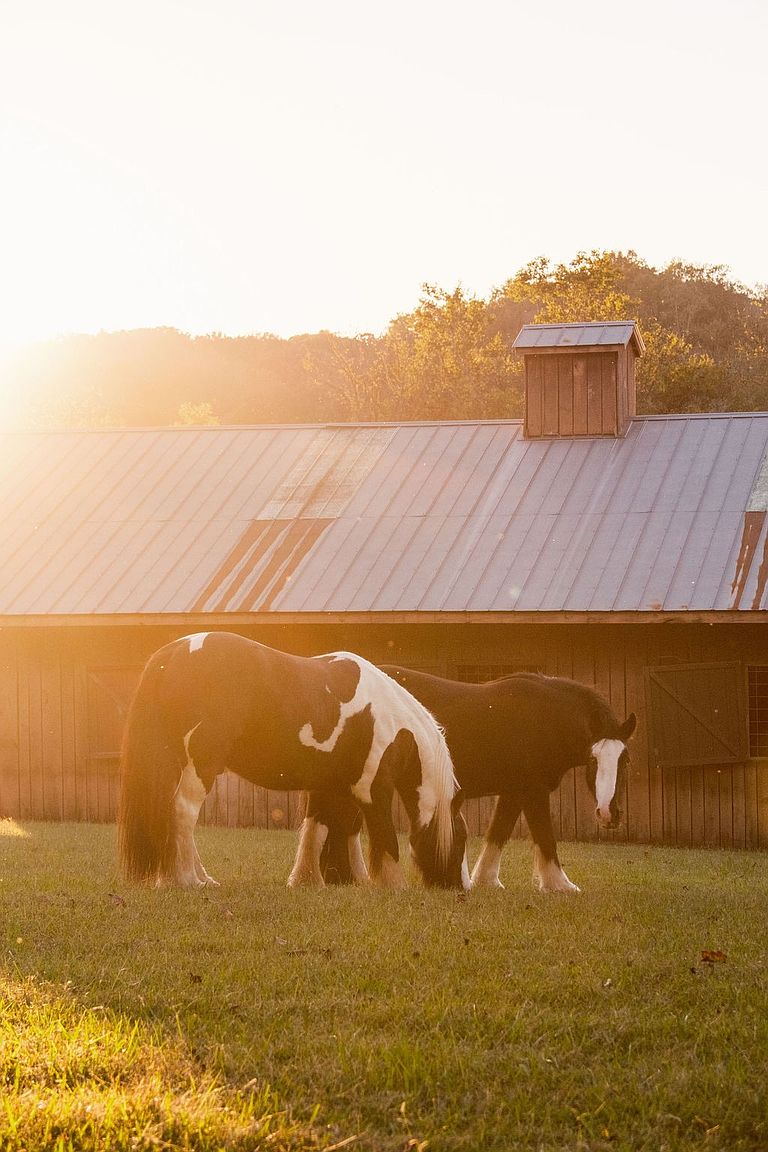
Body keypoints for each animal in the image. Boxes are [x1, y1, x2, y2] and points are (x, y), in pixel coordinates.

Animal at [118, 633, 467, 890]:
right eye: (462, 839)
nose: (460, 887)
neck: (392, 724)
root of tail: (173, 652)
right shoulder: (373, 788)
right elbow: (385, 837)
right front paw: (394, 886)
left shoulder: (330, 787)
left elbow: (317, 829)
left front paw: (308, 881)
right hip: (200, 765)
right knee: (183, 812)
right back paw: (188, 880)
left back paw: (190, 878)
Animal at [307, 669, 636, 893]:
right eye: (593, 760)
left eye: (625, 760)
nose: (609, 814)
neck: (544, 718)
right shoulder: (533, 791)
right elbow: (545, 837)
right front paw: (561, 885)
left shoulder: (514, 792)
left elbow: (498, 832)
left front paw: (484, 880)